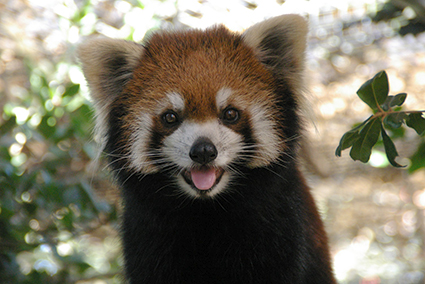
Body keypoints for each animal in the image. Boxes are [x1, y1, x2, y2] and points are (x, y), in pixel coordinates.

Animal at [76, 13, 334, 284]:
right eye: (170, 117)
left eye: (230, 113)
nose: (203, 151)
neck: (206, 211)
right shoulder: (147, 239)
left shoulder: (280, 229)